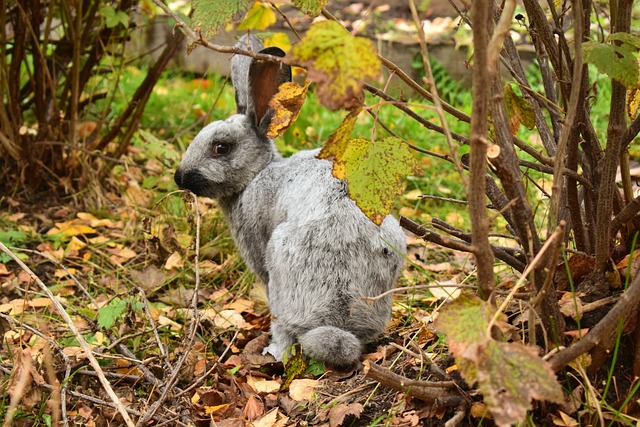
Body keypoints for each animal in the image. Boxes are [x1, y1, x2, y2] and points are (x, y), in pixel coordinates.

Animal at [175, 35, 404, 370]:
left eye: (221, 147)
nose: (179, 177)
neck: (256, 175)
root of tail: (338, 321)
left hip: (280, 271)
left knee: (285, 332)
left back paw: (271, 352)